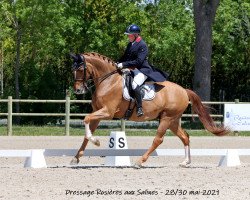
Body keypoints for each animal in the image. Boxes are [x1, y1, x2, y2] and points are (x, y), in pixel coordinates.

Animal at [69, 51, 229, 167]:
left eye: (81, 69)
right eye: (73, 70)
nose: (78, 90)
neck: (108, 81)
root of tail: (184, 90)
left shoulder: (107, 112)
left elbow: (86, 119)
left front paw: (96, 141)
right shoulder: (98, 112)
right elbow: (87, 130)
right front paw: (76, 158)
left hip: (167, 119)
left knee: (158, 140)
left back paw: (140, 162)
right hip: (173, 120)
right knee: (185, 137)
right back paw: (185, 162)